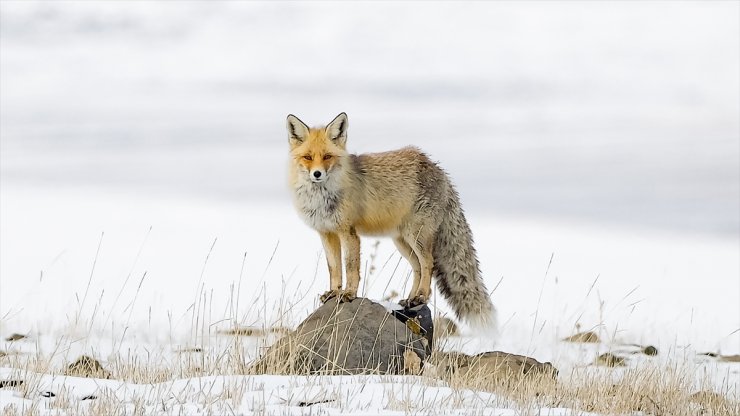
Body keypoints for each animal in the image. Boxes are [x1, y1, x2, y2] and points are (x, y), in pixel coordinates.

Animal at [286, 112, 494, 326]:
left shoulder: (348, 232)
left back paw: (421, 296)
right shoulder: (326, 233)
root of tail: (439, 170)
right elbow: (334, 268)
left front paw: (349, 294)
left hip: (416, 236)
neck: (321, 198)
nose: (317, 174)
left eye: (327, 156)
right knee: (417, 267)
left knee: (428, 263)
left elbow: (351, 267)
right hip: (402, 242)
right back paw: (411, 299)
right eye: (307, 157)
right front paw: (334, 292)